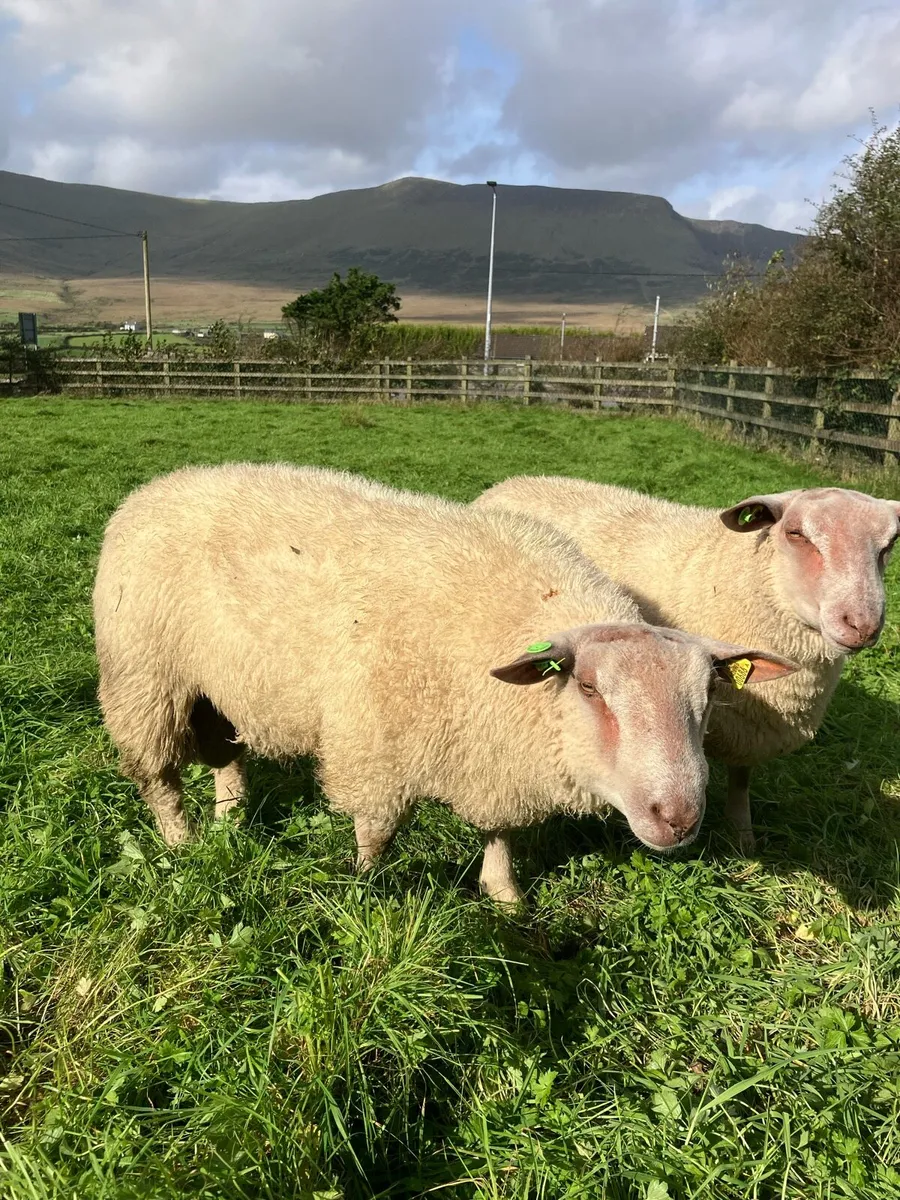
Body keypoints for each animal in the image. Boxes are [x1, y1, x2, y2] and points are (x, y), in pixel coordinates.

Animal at [93, 464, 797, 902]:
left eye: (707, 700)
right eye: (592, 691)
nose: (678, 817)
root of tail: (157, 485)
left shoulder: (494, 756)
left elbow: (499, 834)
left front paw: (505, 895)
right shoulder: (375, 745)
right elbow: (377, 833)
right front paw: (365, 886)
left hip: (214, 685)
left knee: (224, 754)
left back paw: (232, 817)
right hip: (144, 675)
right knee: (157, 774)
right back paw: (182, 843)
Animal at [474, 477, 900, 851]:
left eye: (890, 544)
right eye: (796, 533)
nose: (862, 624)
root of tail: (511, 482)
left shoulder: (745, 721)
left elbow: (741, 777)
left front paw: (743, 836)